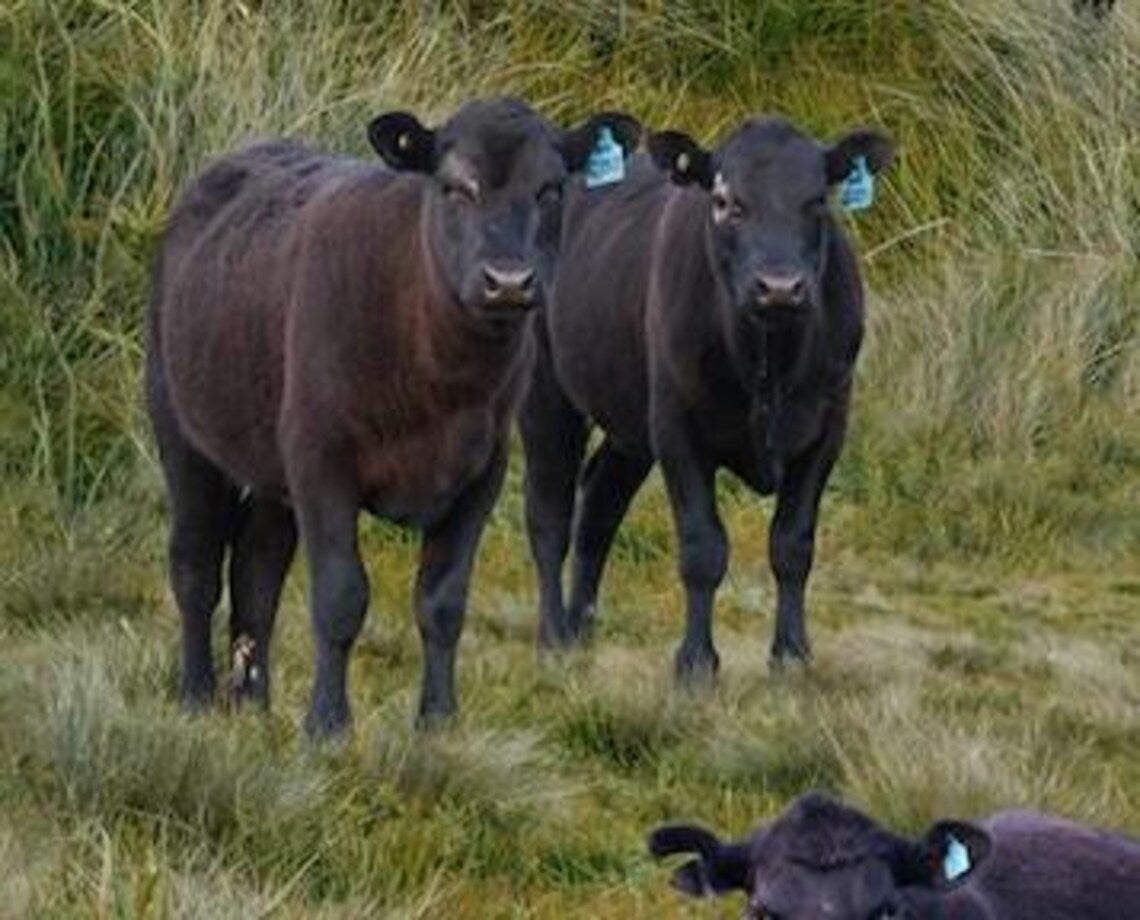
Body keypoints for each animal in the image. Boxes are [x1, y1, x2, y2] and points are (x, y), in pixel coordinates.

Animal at [146, 97, 640, 737]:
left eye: (552, 189)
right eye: (455, 186)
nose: (507, 281)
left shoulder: (481, 474)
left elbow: (443, 601)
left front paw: (439, 720)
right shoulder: (321, 461)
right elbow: (340, 595)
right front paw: (328, 724)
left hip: (271, 465)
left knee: (258, 567)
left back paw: (254, 702)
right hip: (180, 427)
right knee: (196, 562)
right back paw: (197, 695)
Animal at [520, 115, 893, 676]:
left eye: (816, 202)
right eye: (724, 201)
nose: (779, 287)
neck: (768, 363)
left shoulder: (827, 426)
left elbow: (793, 545)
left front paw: (791, 655)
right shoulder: (678, 426)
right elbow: (702, 549)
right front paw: (696, 663)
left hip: (630, 421)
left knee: (600, 504)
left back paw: (582, 628)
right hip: (546, 389)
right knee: (549, 512)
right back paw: (554, 638)